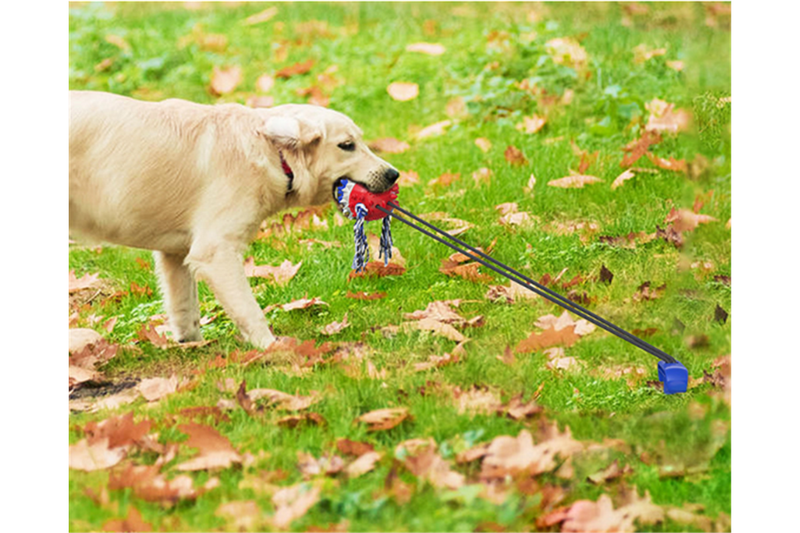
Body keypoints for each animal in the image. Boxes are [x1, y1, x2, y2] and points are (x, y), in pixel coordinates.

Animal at [69, 91, 400, 350]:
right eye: (347, 145)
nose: (394, 174)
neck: (273, 151)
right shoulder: (216, 251)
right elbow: (248, 310)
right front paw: (272, 348)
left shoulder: (175, 254)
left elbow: (185, 310)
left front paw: (191, 345)